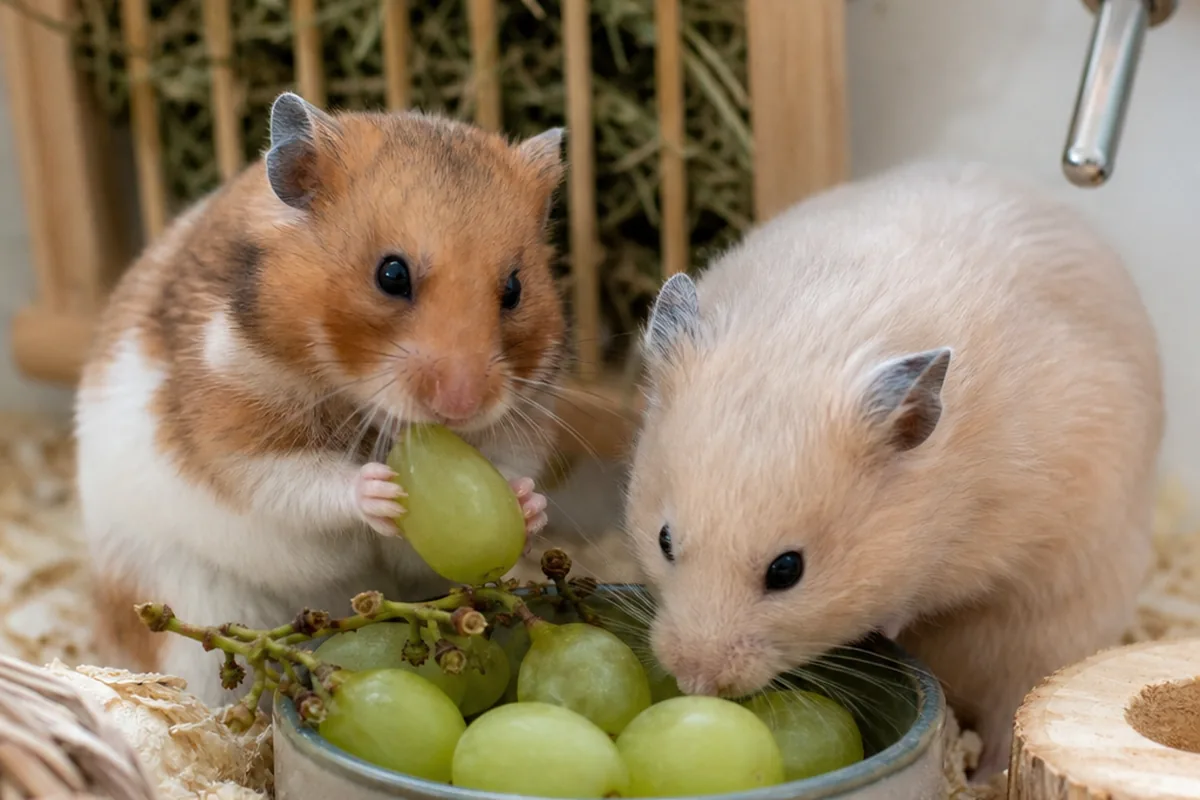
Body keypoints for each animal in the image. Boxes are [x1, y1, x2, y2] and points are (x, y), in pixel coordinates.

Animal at [75, 92, 569, 707]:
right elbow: (305, 487)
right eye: (391, 274)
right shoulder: (241, 452)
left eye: (514, 289)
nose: (461, 405)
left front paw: (527, 503)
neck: (354, 397)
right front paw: (381, 491)